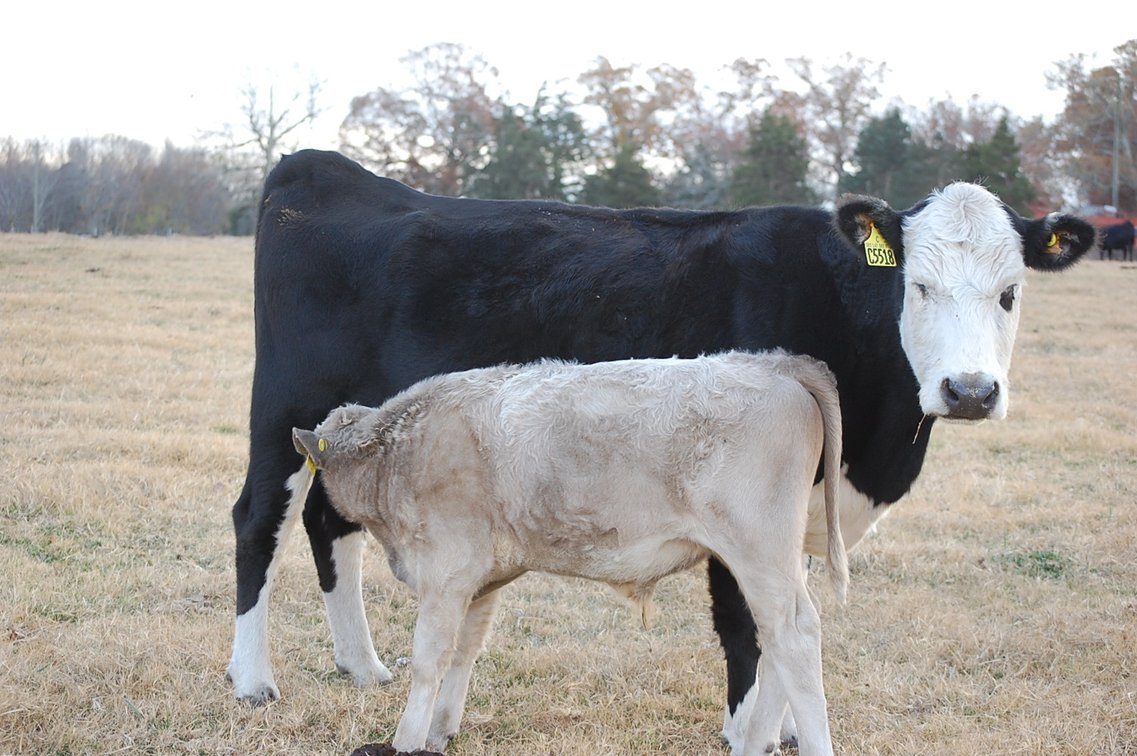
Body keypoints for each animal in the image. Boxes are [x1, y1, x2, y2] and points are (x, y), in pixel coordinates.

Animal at [292, 350, 848, 756]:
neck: (400, 450)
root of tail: (774, 362)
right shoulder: (480, 578)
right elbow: (466, 651)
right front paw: (438, 732)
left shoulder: (446, 573)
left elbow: (429, 659)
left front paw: (407, 741)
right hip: (777, 560)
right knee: (776, 640)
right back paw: (756, 745)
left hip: (760, 552)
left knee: (795, 635)